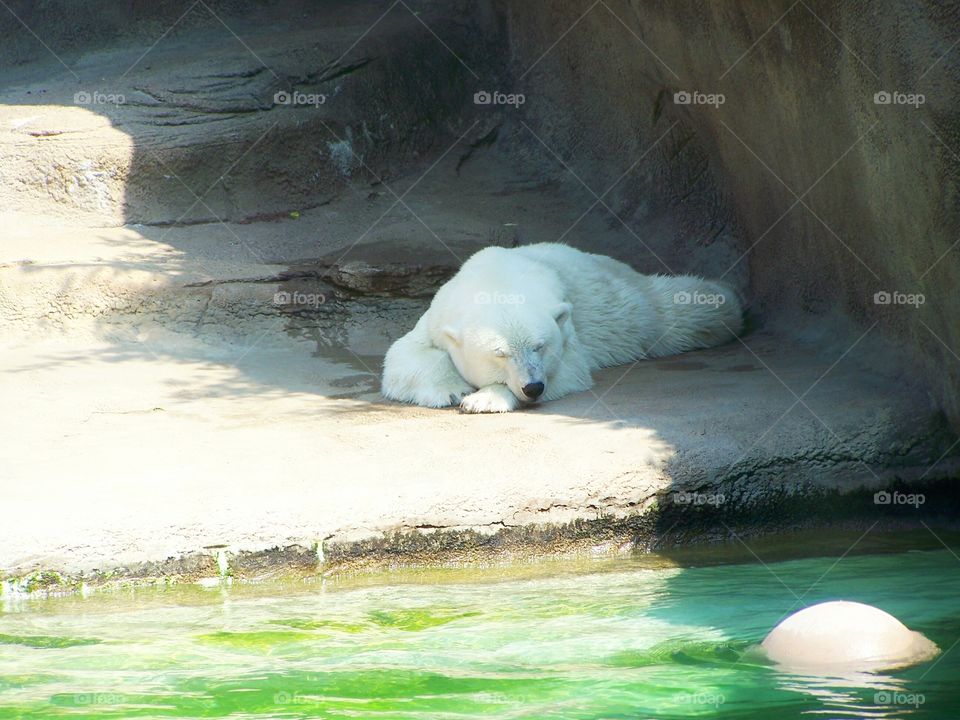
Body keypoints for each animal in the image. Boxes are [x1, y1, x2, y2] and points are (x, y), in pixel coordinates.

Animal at [380, 242, 744, 410]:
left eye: (539, 347)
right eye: (500, 353)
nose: (532, 387)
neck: (496, 279)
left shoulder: (568, 330)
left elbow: (569, 370)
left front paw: (485, 399)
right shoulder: (438, 315)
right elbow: (403, 354)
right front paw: (453, 389)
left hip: (623, 304)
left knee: (670, 313)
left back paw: (726, 300)